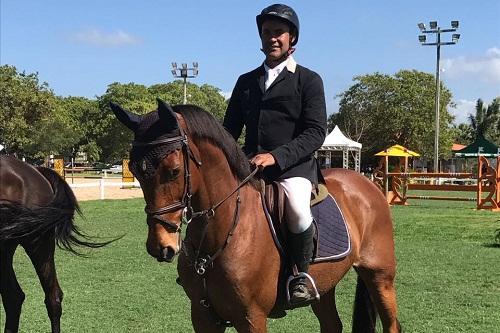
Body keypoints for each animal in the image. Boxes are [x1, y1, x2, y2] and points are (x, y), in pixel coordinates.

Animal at [111, 99, 400, 332]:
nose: (160, 246)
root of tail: (367, 183)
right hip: (325, 283)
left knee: (391, 323)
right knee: (332, 325)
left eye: (173, 171)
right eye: (134, 170)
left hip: (379, 276)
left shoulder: (251, 317)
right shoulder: (203, 316)